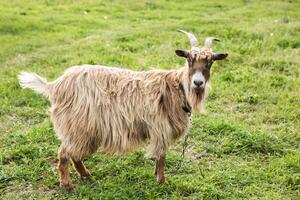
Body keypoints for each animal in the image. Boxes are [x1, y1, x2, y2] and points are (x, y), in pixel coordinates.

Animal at [18, 30, 227, 191]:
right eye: (189, 59)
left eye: (210, 61)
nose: (198, 82)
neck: (178, 87)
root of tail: (54, 85)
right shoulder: (160, 129)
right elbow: (161, 157)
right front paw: (162, 182)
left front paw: (157, 177)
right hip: (77, 126)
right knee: (64, 153)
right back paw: (67, 185)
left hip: (84, 130)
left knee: (74, 154)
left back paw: (86, 176)